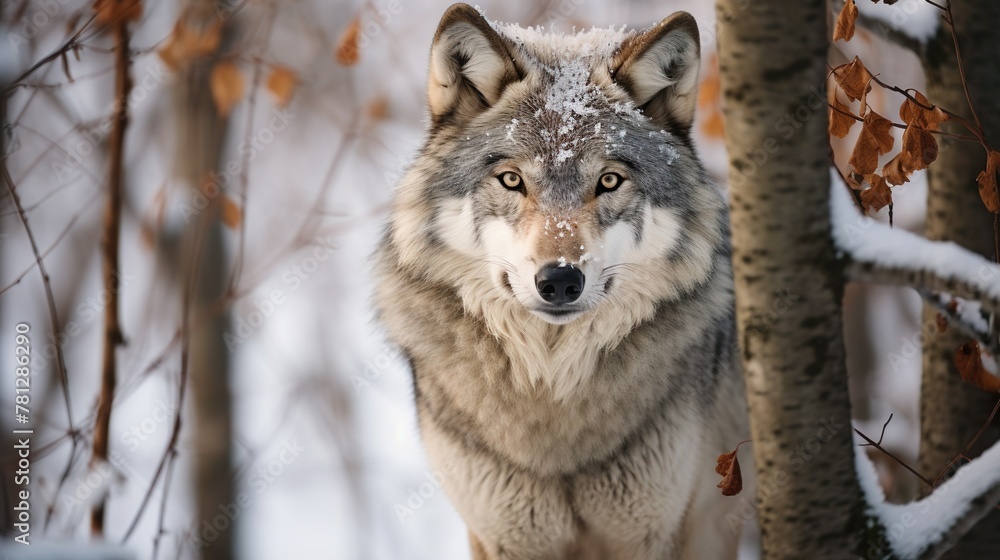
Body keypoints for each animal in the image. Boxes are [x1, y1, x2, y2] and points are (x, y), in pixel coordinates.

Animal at [374, 4, 750, 558]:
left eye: (609, 181)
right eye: (512, 180)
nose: (559, 281)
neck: (552, 394)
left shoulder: (658, 531)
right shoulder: (501, 535)